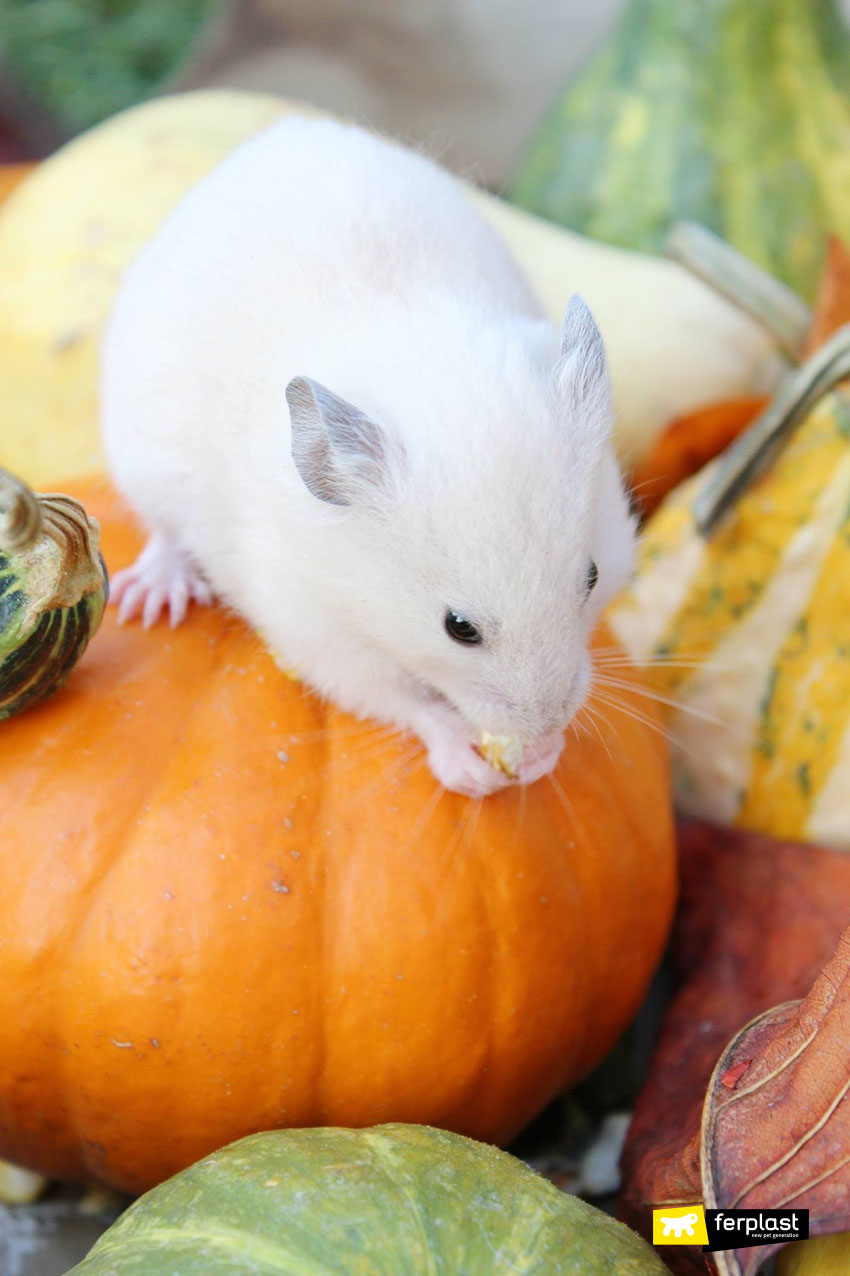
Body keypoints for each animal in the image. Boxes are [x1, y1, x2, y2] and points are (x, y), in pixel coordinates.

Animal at [99, 119, 633, 796]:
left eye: (591, 577)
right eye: (458, 627)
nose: (546, 724)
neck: (356, 587)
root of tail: (281, 134)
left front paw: (542, 755)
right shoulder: (319, 638)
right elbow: (401, 700)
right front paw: (475, 767)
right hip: (140, 456)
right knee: (164, 533)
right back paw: (150, 599)